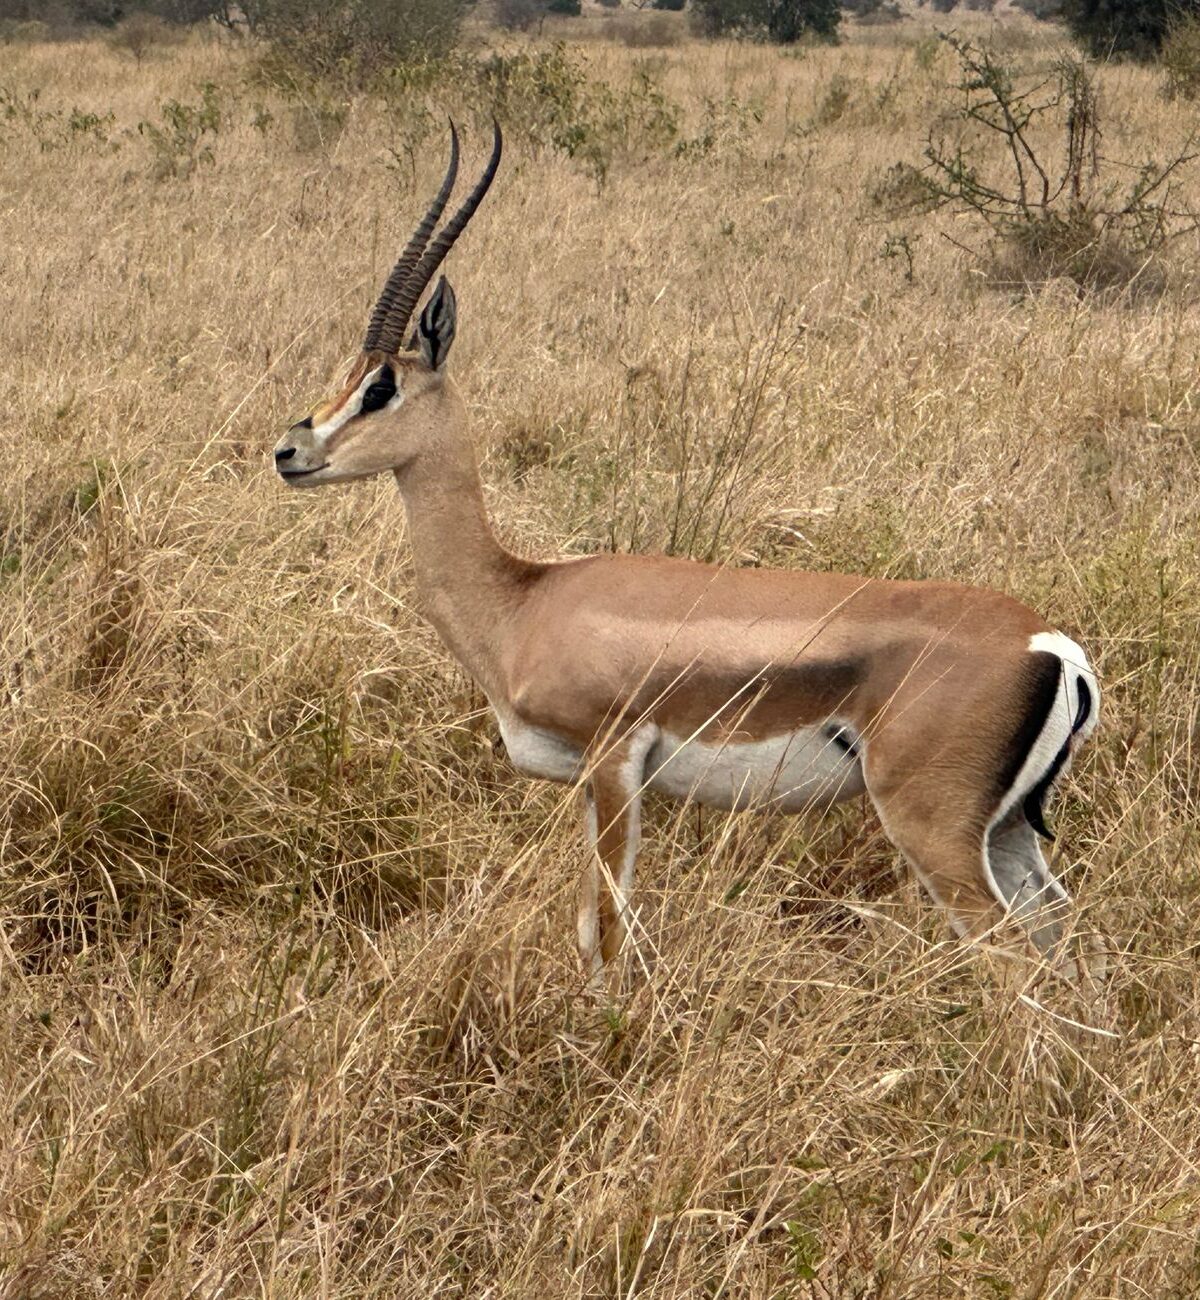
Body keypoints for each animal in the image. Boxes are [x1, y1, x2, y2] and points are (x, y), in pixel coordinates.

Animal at [273, 124, 1100, 982]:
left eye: (380, 387)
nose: (288, 452)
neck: (524, 601)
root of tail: (1052, 648)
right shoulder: (588, 781)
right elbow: (591, 921)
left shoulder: (614, 761)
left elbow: (606, 924)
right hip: (1007, 833)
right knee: (1066, 938)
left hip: (933, 829)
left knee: (1012, 956)